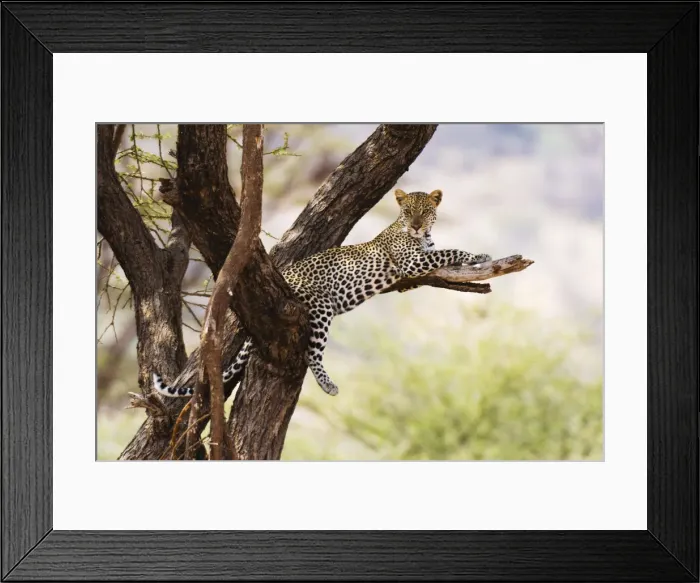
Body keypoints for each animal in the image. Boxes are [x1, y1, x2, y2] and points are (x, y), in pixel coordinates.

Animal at [152, 189, 491, 398]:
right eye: (407, 212)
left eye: (425, 212)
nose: (417, 227)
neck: (423, 237)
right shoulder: (412, 261)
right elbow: (450, 251)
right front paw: (479, 255)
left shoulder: (421, 257)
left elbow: (443, 253)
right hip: (319, 308)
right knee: (310, 353)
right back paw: (328, 385)